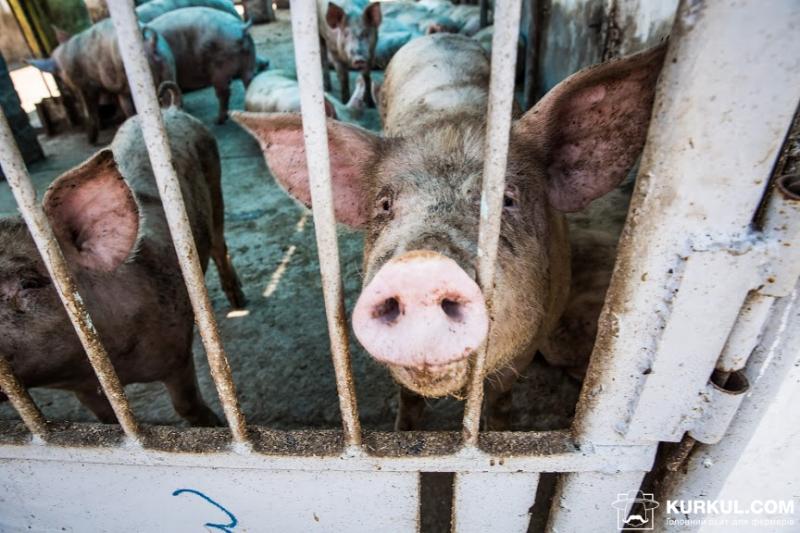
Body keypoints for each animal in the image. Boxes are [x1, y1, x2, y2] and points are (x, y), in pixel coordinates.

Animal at [0, 106, 245, 426]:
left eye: (29, 283)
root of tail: (170, 108)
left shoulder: (177, 349)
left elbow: (185, 403)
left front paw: (212, 424)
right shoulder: (81, 388)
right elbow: (109, 420)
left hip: (214, 178)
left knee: (219, 243)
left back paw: (238, 301)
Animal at [30, 19, 177, 143]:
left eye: (59, 78)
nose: (62, 91)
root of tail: (150, 40)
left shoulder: (84, 85)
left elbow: (89, 110)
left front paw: (91, 141)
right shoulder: (119, 90)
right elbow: (122, 105)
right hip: (168, 65)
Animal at [233, 35, 668, 428]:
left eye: (507, 199)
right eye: (385, 205)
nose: (420, 268)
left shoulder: (530, 345)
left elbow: (502, 397)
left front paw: (499, 430)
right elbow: (408, 399)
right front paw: (404, 433)